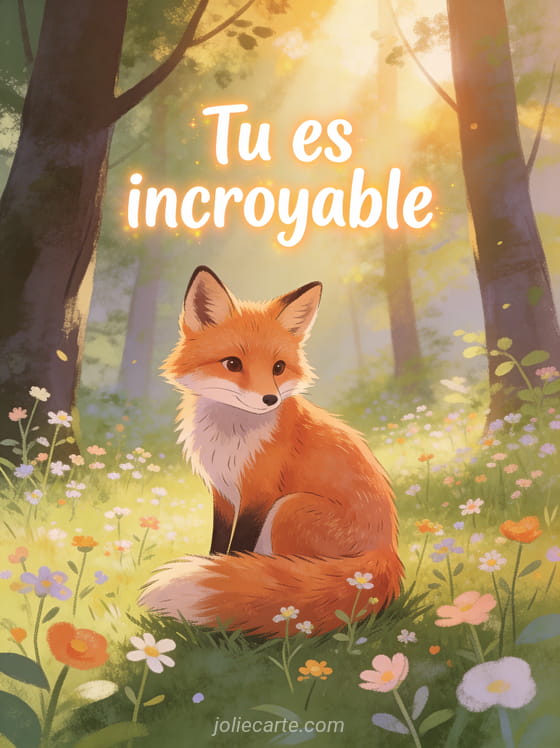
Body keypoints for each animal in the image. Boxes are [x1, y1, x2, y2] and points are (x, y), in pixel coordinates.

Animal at [139, 266, 403, 637]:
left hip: (289, 509)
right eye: (232, 363)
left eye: (278, 367)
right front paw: (219, 571)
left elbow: (237, 549)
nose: (270, 399)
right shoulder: (223, 493)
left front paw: (233, 582)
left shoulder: (258, 494)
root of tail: (387, 554)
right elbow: (219, 545)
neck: (231, 437)